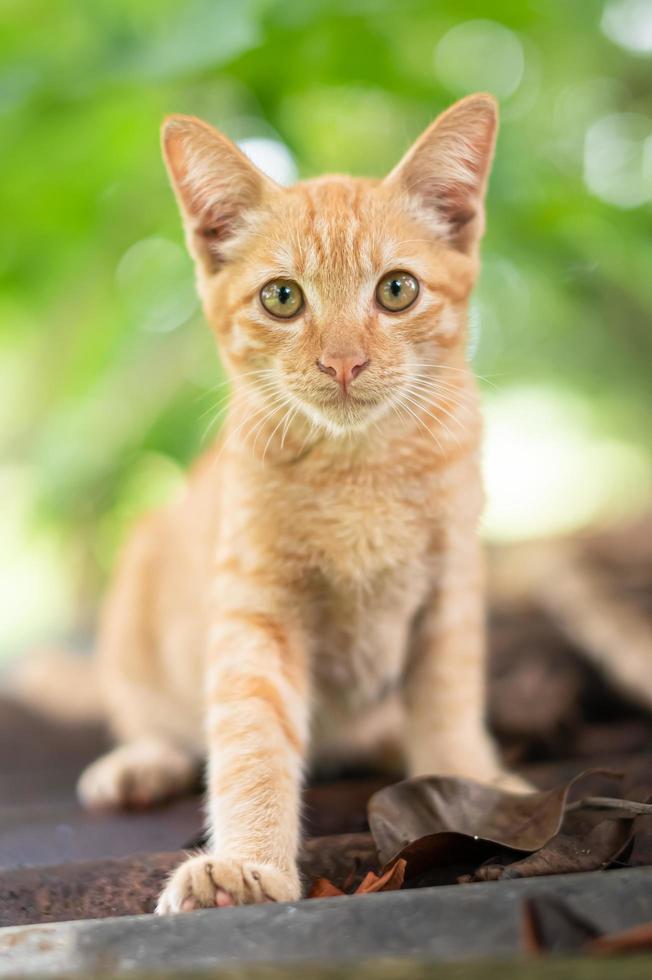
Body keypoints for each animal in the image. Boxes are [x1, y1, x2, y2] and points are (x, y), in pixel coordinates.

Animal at [75, 92, 524, 912]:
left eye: (397, 289)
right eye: (283, 298)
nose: (343, 362)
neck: (361, 471)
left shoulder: (450, 592)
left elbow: (446, 706)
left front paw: (473, 786)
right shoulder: (256, 611)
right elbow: (250, 738)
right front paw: (246, 863)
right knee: (147, 711)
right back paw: (142, 760)